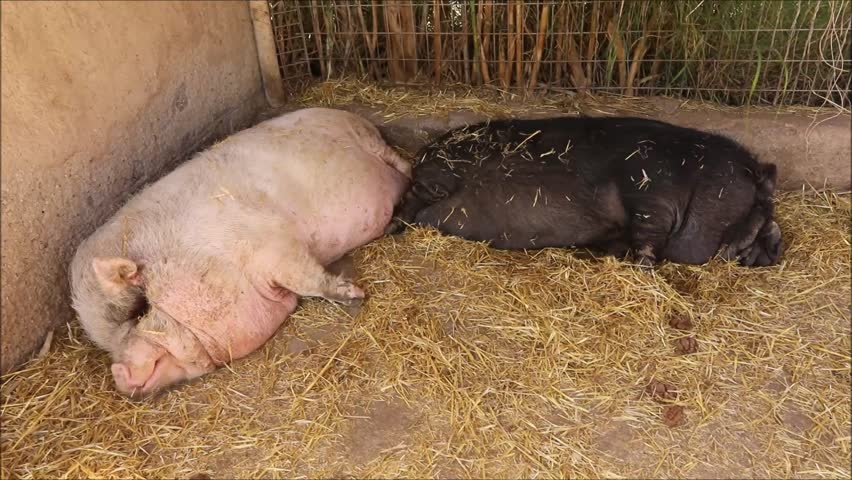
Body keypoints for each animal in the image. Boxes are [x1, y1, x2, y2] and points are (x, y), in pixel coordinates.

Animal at [69, 107, 410, 398]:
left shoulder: (276, 244)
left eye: (139, 309)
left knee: (403, 166)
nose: (118, 373)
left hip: (370, 142)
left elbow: (308, 279)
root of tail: (343, 112)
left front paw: (355, 296)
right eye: (105, 345)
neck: (200, 254)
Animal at [387, 115, 783, 268]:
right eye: (763, 206)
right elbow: (648, 240)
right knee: (412, 199)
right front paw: (641, 268)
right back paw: (392, 226)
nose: (777, 247)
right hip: (438, 176)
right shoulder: (651, 191)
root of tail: (422, 154)